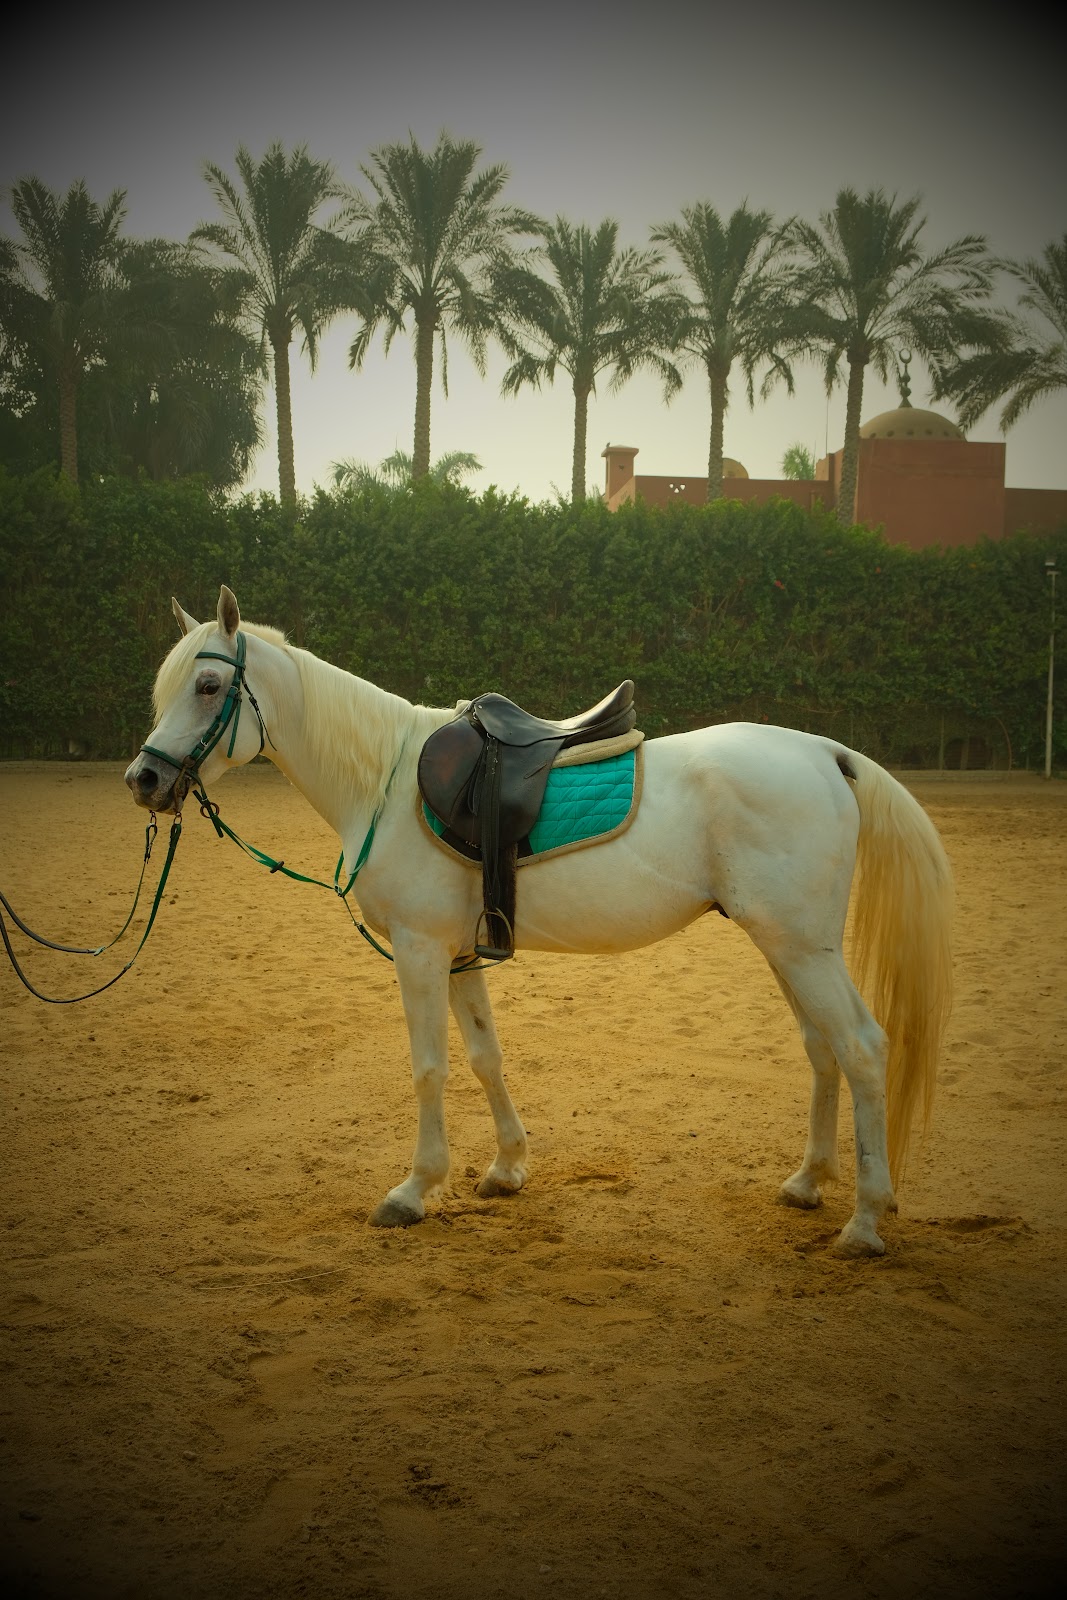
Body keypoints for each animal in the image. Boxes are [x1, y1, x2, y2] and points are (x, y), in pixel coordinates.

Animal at [124, 585, 953, 1257]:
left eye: (207, 685)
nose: (145, 779)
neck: (385, 781)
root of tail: (825, 753)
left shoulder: (419, 952)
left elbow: (429, 1067)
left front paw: (414, 1190)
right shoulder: (459, 955)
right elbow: (485, 1057)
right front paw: (505, 1166)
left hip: (801, 947)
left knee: (862, 1048)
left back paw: (864, 1222)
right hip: (786, 945)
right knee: (822, 1048)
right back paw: (808, 1182)